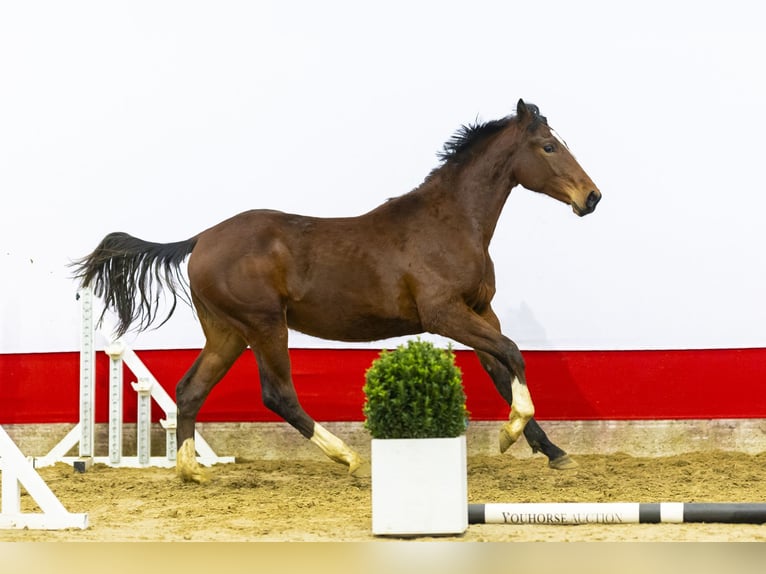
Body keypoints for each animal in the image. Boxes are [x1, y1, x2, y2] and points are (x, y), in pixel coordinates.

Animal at [72, 99, 600, 482]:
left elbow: (503, 368)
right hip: (264, 325)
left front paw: (554, 451)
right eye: (548, 147)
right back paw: (347, 456)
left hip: (227, 332)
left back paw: (189, 472)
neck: (451, 222)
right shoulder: (444, 313)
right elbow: (512, 353)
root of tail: (200, 239)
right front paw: (511, 433)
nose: (591, 197)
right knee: (278, 395)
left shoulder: (479, 310)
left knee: (189, 389)